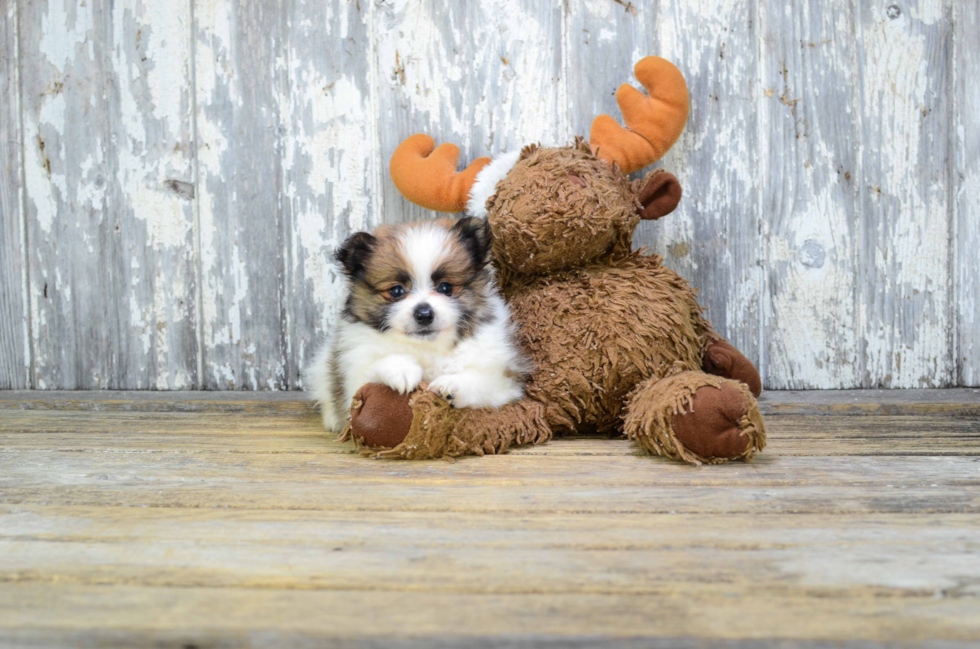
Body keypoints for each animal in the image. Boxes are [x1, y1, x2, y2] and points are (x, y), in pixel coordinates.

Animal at [310, 216, 532, 430]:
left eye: (445, 287)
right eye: (397, 291)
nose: (424, 314)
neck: (427, 347)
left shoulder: (505, 385)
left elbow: (482, 382)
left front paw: (453, 384)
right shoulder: (354, 377)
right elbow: (372, 370)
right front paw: (400, 369)